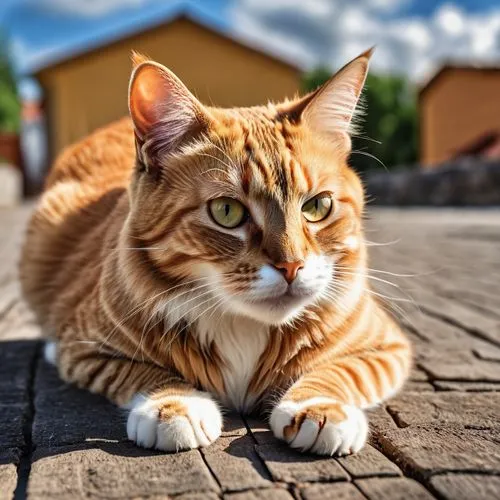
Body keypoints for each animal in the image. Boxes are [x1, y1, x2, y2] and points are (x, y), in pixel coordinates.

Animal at [20, 48, 410, 456]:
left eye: (317, 206)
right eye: (227, 211)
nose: (291, 266)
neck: (243, 324)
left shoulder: (385, 347)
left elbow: (340, 370)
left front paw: (320, 406)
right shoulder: (86, 347)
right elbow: (141, 371)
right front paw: (174, 404)